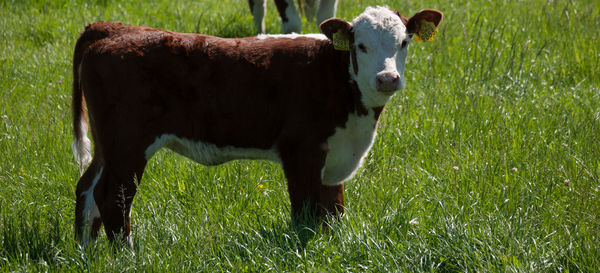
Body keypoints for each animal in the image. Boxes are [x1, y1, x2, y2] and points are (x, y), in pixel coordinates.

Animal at [72, 5, 442, 244]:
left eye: (404, 42)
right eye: (360, 46)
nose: (387, 79)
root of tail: (115, 30)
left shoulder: (336, 155)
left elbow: (333, 211)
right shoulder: (301, 152)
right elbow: (306, 214)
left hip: (108, 146)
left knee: (87, 189)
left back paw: (86, 252)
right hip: (128, 145)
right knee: (113, 199)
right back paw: (126, 255)